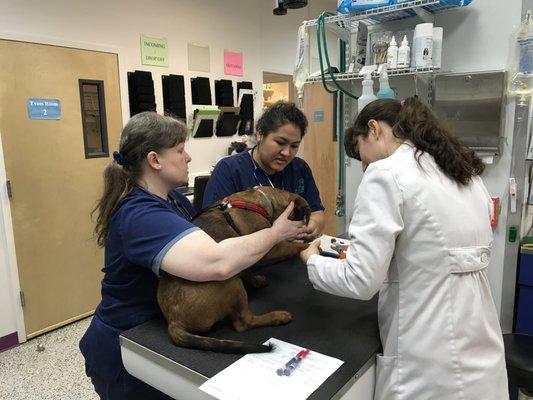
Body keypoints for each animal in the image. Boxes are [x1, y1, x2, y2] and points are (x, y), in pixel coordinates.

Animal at [156, 188, 310, 354]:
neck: (263, 201)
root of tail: (174, 320)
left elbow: (247, 271)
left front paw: (256, 281)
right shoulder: (269, 248)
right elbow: (291, 246)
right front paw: (309, 245)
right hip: (232, 283)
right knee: (245, 323)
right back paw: (278, 316)